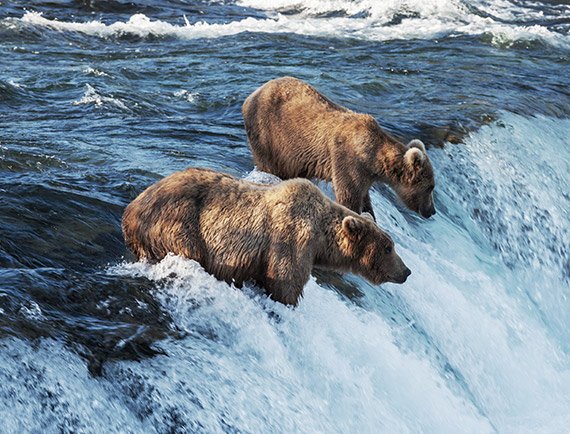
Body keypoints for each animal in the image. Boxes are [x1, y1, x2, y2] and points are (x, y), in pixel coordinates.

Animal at [123, 166, 408, 306]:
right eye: (388, 247)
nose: (406, 271)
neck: (320, 237)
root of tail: (131, 209)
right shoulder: (289, 239)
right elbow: (284, 282)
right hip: (177, 224)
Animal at [241, 75, 434, 220]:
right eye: (430, 187)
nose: (431, 211)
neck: (372, 158)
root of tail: (252, 95)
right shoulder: (347, 160)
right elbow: (349, 196)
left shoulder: (365, 174)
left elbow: (364, 198)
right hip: (268, 134)